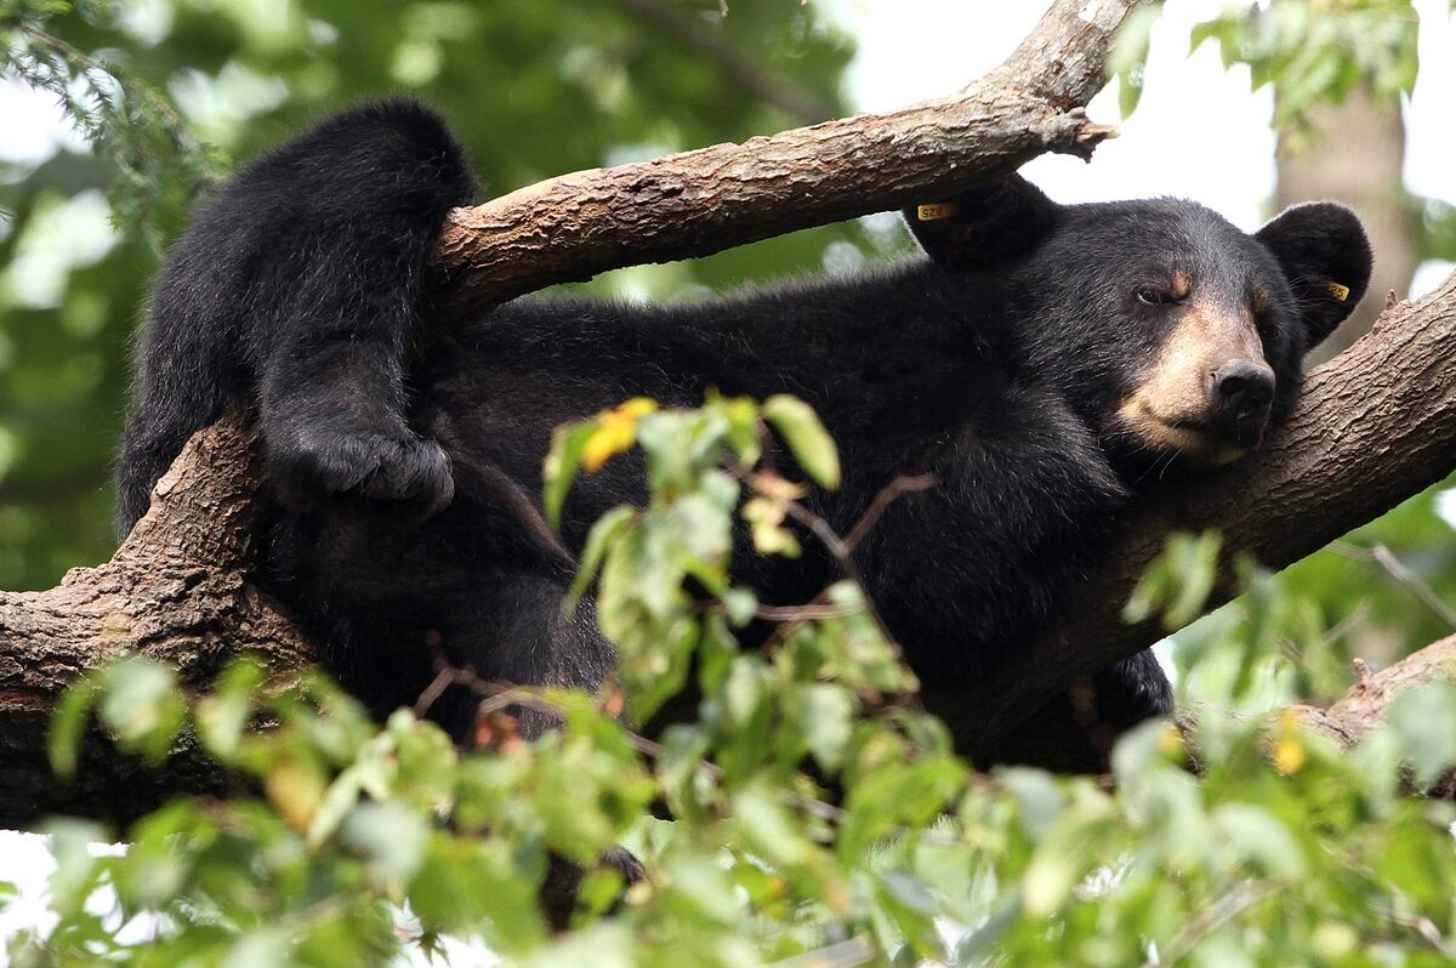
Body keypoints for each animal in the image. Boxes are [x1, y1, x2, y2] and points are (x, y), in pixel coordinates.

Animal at [116, 99, 1372, 773]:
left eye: (1266, 316)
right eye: (1152, 297)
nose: (1238, 385)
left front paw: (1131, 679)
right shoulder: (850, 412)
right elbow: (905, 549)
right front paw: (1054, 478)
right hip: (246, 361)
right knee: (366, 166)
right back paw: (359, 441)